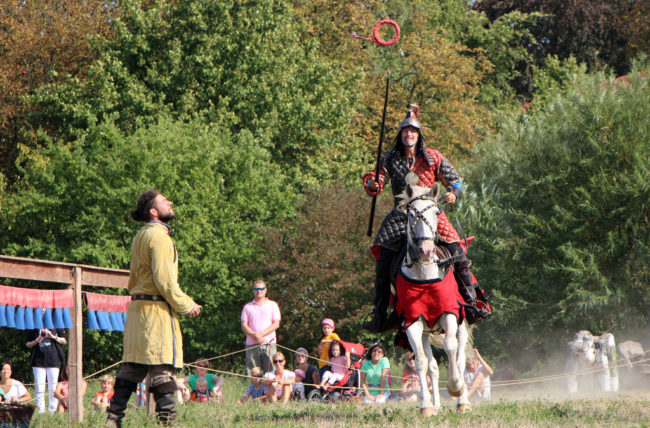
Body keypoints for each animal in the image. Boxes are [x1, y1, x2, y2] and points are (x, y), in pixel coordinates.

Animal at [392, 183, 468, 414]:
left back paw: (463, 401)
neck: (424, 275)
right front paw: (426, 406)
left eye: (436, 212)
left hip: (462, 324)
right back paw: (436, 405)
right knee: (432, 366)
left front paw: (455, 387)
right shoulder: (413, 322)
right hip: (427, 332)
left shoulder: (450, 314)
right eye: (411, 215)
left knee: (461, 358)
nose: (425, 251)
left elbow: (451, 348)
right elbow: (421, 362)